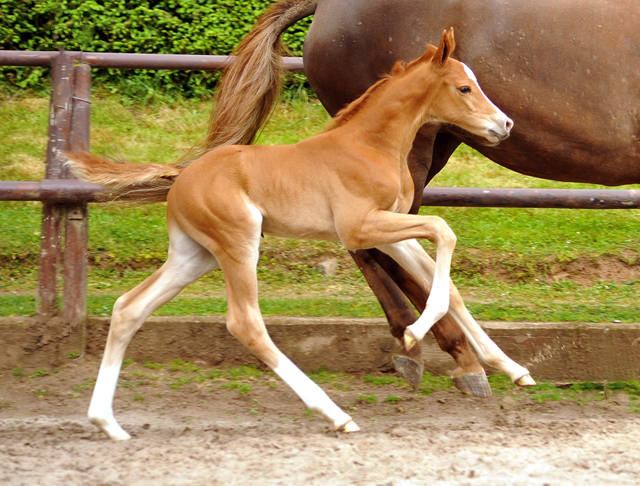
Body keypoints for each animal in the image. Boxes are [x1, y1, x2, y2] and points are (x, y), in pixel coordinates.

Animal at [66, 29, 536, 440]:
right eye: (464, 88)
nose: (505, 124)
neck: (371, 145)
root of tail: (181, 177)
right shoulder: (359, 227)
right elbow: (444, 230)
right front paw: (413, 335)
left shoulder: (388, 230)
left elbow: (448, 284)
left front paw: (512, 369)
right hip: (238, 243)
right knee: (245, 323)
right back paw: (336, 415)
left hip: (193, 255)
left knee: (129, 308)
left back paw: (107, 424)